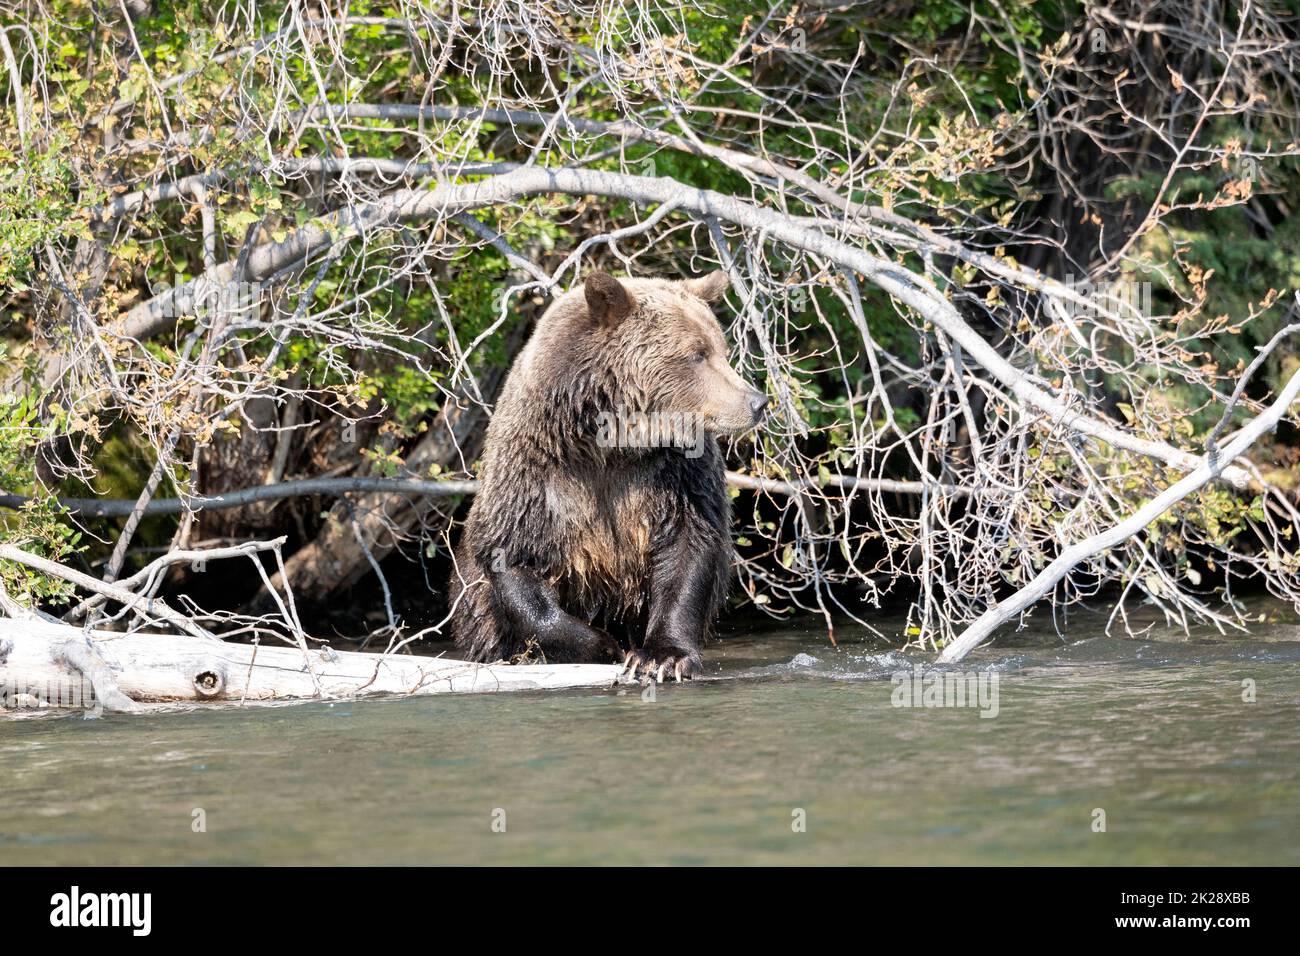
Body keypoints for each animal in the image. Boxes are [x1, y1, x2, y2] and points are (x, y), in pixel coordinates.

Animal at [452, 269, 764, 681]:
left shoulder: (676, 473)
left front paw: (662, 656)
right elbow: (515, 558)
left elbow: (687, 547)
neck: (609, 444)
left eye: (721, 349)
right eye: (697, 353)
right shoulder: (535, 472)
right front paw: (602, 644)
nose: (757, 402)